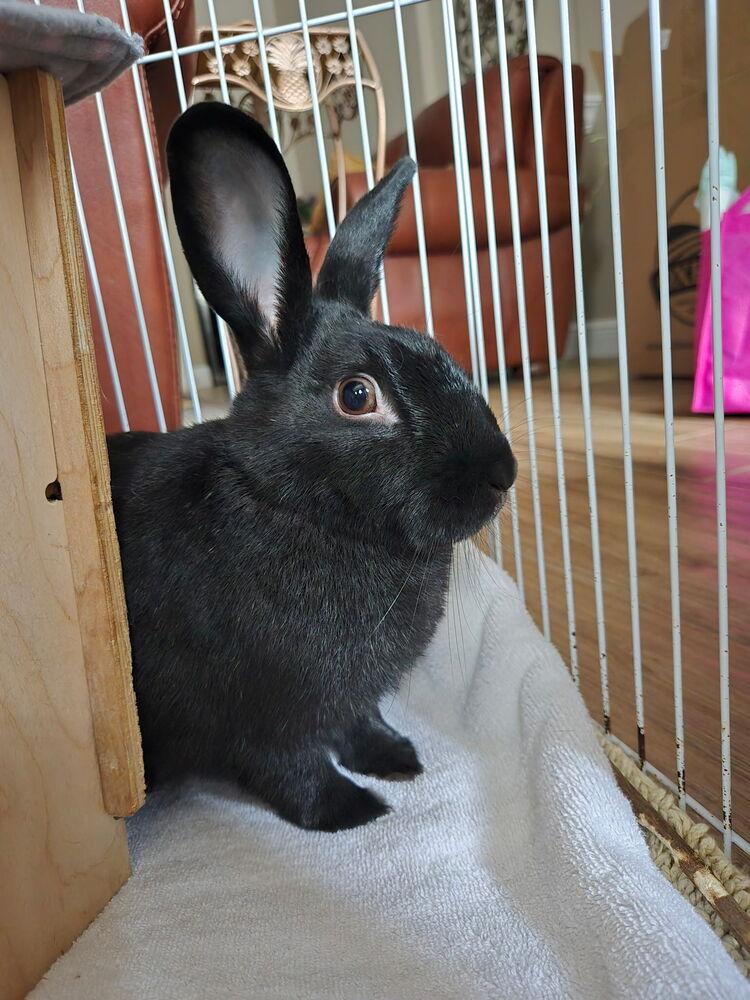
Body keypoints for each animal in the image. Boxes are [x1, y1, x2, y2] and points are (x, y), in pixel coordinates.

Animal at [107, 102, 516, 833]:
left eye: (437, 348)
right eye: (356, 396)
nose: (503, 473)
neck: (287, 503)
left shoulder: (352, 697)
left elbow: (360, 723)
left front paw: (397, 759)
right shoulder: (263, 721)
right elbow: (292, 770)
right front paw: (354, 810)